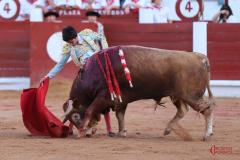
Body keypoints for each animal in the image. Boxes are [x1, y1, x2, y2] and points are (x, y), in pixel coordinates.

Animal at [62, 45, 216, 140]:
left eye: (75, 116)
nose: (84, 131)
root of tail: (201, 58)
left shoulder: (103, 97)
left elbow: (90, 110)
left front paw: (81, 131)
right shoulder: (121, 100)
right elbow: (120, 116)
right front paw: (121, 132)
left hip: (191, 95)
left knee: (207, 109)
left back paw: (207, 135)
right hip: (177, 95)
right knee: (183, 110)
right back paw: (167, 129)